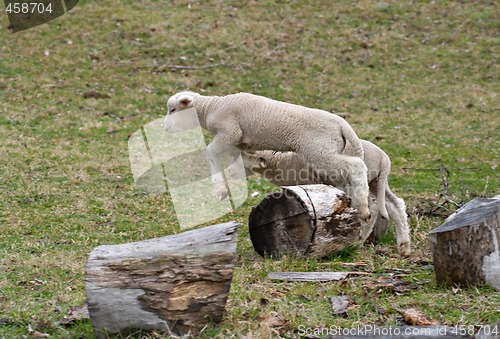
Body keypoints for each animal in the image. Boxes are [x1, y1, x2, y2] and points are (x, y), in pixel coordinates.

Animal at [163, 91, 372, 223]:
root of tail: (343, 125)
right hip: (328, 152)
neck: (210, 108)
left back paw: (363, 208)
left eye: (172, 110)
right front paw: (252, 163)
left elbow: (210, 152)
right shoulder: (238, 141)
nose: (165, 128)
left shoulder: (229, 132)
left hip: (320, 151)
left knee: (357, 165)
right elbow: (239, 156)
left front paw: (220, 189)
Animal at [240, 141, 412, 258]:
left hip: (358, 182)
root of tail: (383, 159)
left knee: (371, 208)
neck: (281, 162)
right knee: (395, 205)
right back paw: (404, 247)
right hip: (376, 182)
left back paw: (358, 242)